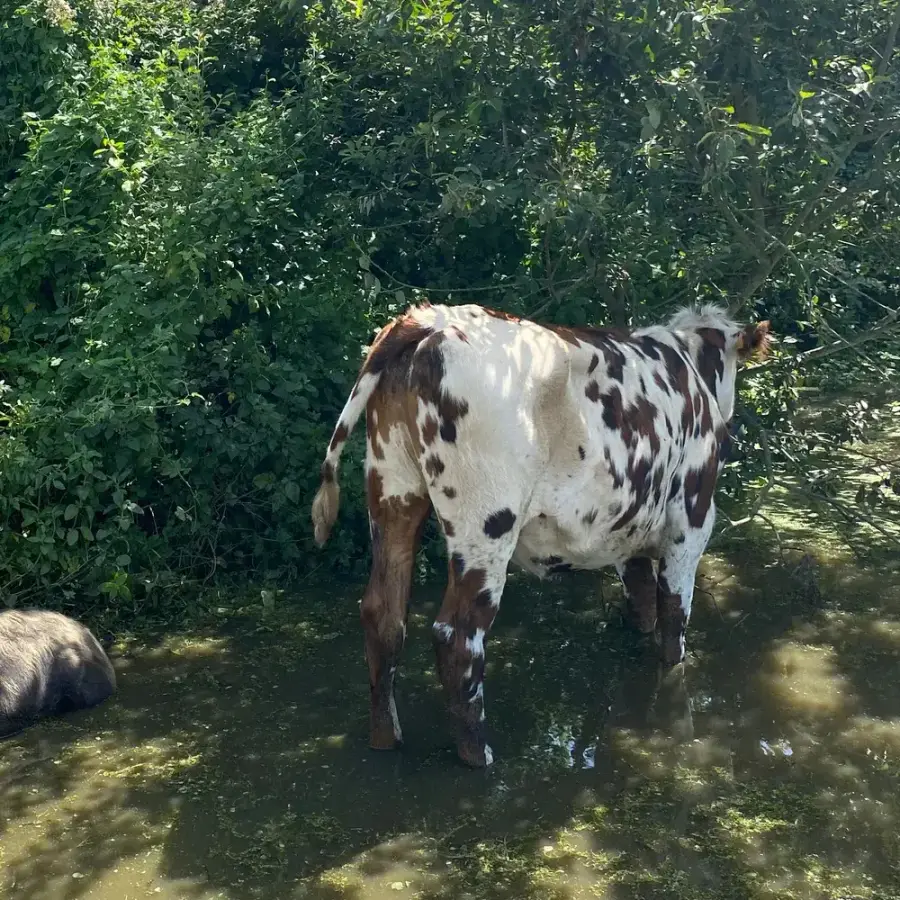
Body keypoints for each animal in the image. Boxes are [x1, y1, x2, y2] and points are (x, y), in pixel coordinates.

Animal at [311, 302, 771, 767]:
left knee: (383, 615)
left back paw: (385, 737)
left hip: (393, 494)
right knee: (458, 636)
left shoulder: (628, 532)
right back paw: (478, 754)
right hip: (486, 524)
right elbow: (674, 620)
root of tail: (428, 320)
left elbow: (641, 605)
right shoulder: (691, 524)